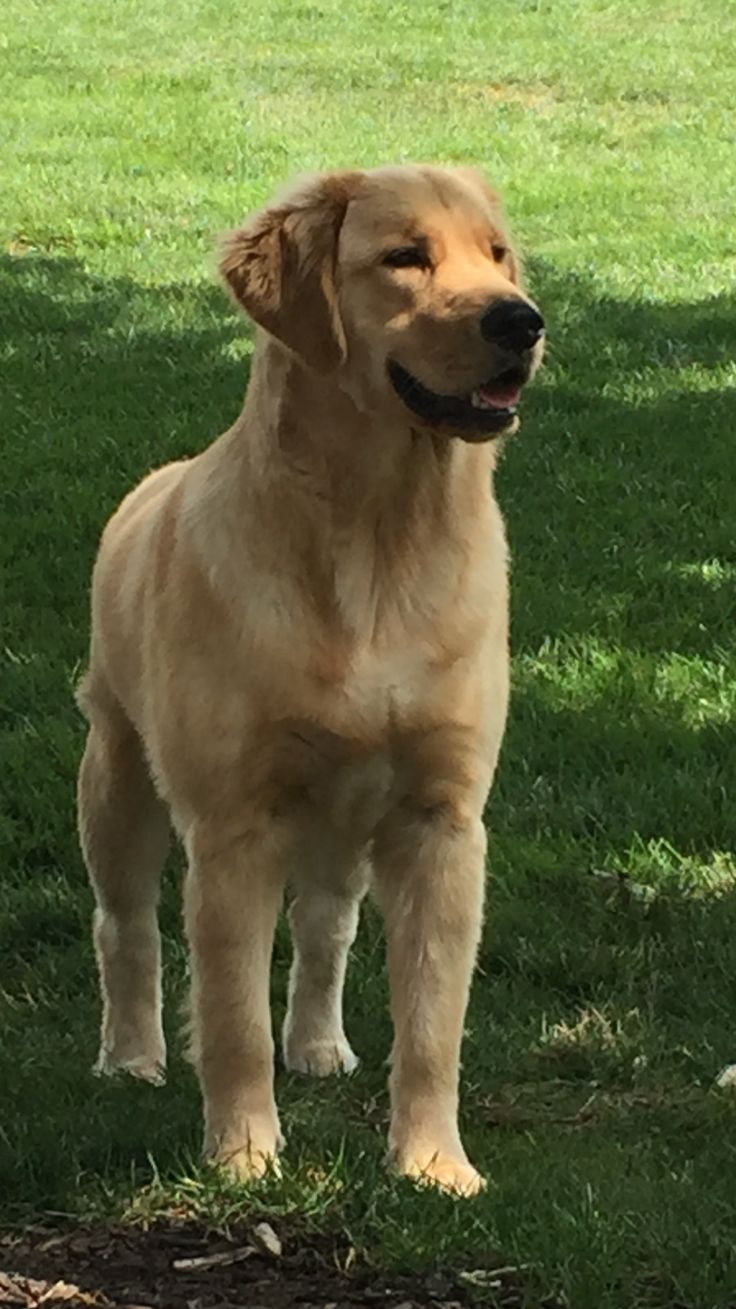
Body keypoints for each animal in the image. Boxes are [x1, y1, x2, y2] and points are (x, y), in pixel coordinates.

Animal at [77, 163, 542, 1199]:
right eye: (404, 257)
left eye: (498, 255)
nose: (522, 321)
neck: (379, 536)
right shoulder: (233, 827)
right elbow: (231, 1018)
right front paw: (245, 1156)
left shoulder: (441, 820)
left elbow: (432, 1026)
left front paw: (434, 1163)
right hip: (116, 778)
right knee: (124, 927)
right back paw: (129, 1056)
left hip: (343, 824)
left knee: (326, 928)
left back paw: (321, 1047)